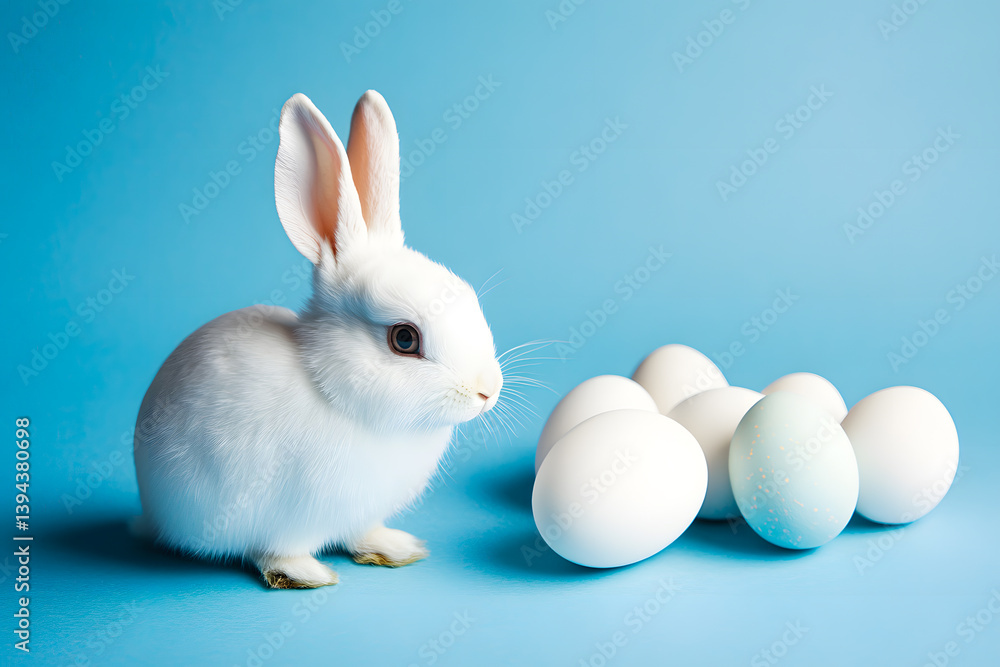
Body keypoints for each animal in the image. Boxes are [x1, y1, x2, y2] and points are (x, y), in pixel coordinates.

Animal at [132, 90, 503, 589]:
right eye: (405, 339)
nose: (488, 392)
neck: (336, 394)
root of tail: (150, 514)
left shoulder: (358, 512)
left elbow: (360, 532)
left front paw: (396, 548)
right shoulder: (287, 516)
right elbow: (278, 550)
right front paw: (307, 574)